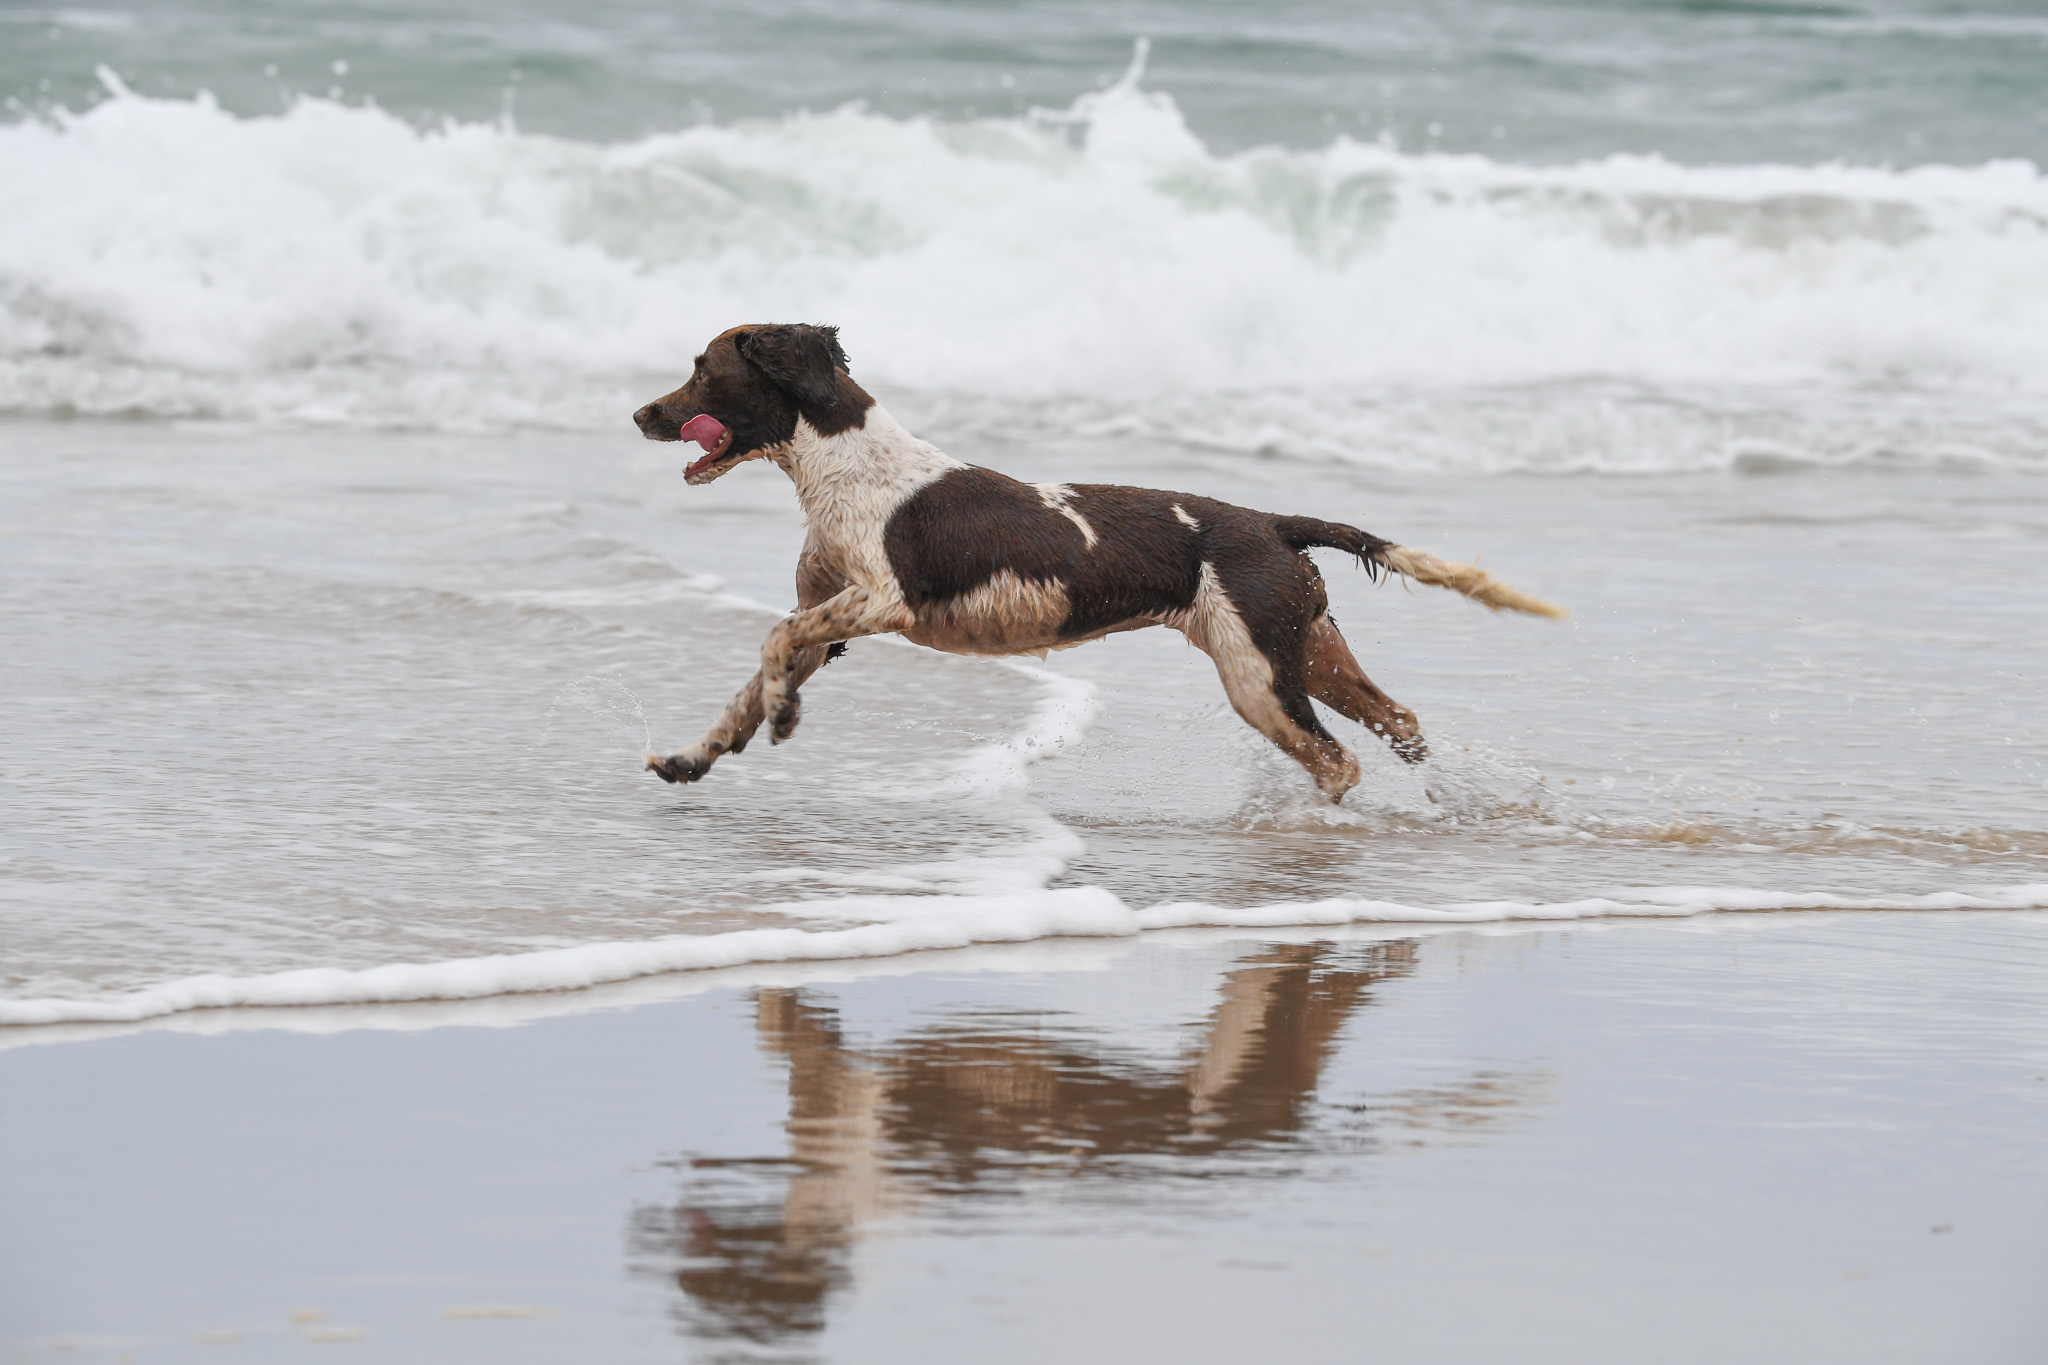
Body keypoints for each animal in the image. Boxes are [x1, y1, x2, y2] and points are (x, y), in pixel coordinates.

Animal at [630, 325, 1556, 806]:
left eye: (703, 369)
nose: (641, 413)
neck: (847, 463)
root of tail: (1271, 523)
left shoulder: (883, 599)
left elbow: (774, 642)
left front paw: (782, 716)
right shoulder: (833, 619)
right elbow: (760, 669)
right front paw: (697, 754)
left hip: (1258, 674)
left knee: (1338, 759)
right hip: (1305, 648)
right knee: (1399, 720)